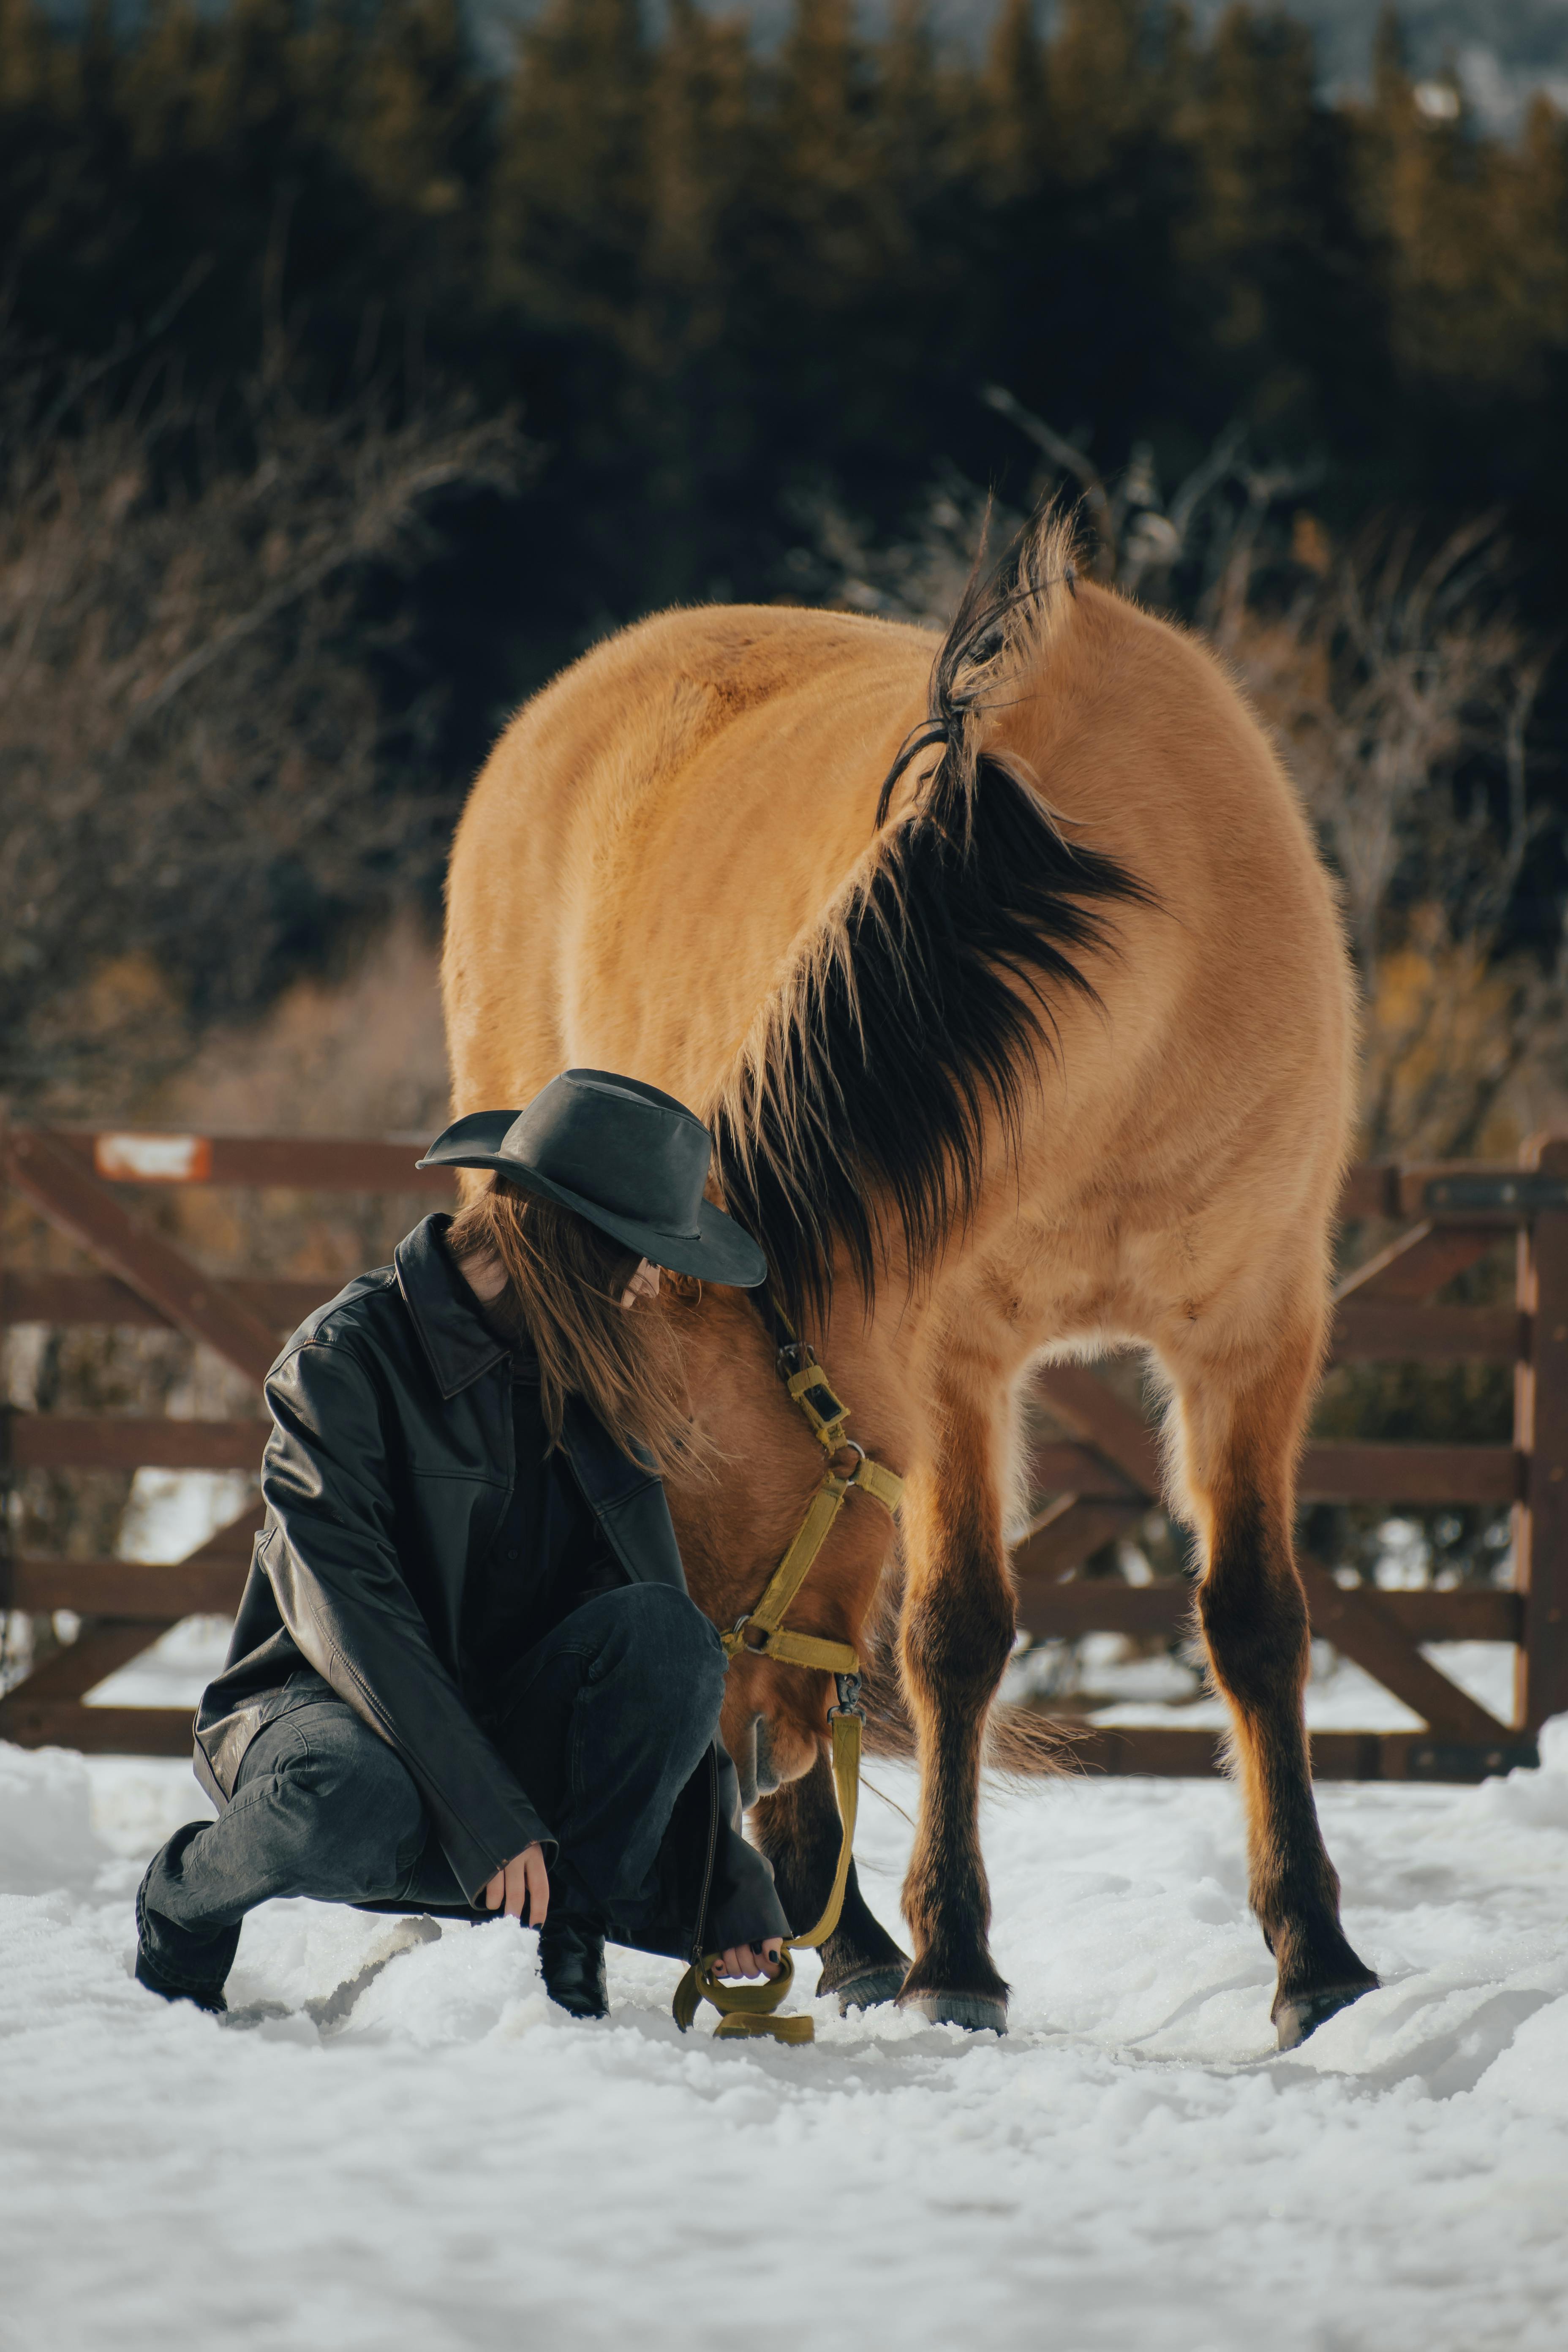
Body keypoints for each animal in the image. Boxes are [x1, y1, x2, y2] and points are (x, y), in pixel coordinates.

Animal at [438, 511, 1378, 2049]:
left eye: (676, 1469)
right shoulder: (950, 1360)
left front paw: (1318, 1961)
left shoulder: (1253, 1332)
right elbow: (954, 1635)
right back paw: (856, 1935)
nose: (704, 1729)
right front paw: (953, 1958)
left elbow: (1253, 1620)